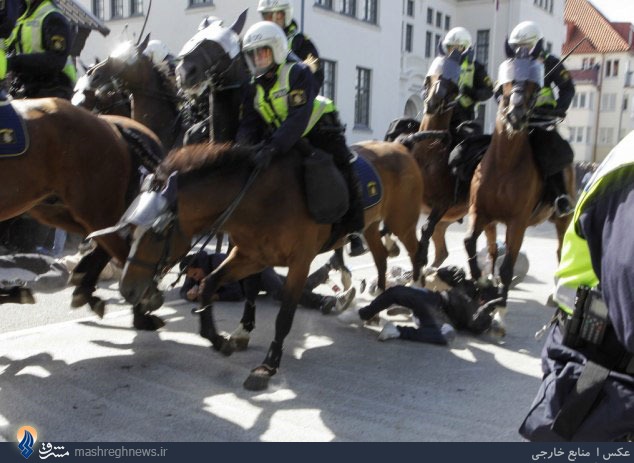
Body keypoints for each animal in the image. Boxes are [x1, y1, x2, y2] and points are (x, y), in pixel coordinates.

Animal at [0, 98, 164, 328]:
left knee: (122, 245)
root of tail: (107, 124)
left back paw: (139, 308)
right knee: (108, 240)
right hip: (59, 210)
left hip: (93, 209)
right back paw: (86, 285)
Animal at [460, 49, 572, 334]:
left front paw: (500, 310)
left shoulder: (517, 223)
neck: (504, 164)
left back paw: (555, 294)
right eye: (509, 79)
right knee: (490, 249)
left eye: (535, 85)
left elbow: (508, 266)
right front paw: (482, 282)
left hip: (562, 220)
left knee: (560, 252)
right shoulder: (480, 213)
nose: (516, 115)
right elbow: (469, 242)